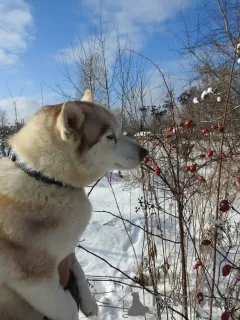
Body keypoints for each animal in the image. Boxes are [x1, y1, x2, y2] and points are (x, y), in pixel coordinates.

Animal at [0, 90, 148, 320]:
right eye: (110, 136)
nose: (144, 152)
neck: (45, 178)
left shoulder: (67, 252)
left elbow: (76, 266)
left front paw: (88, 301)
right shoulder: (35, 282)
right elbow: (68, 306)